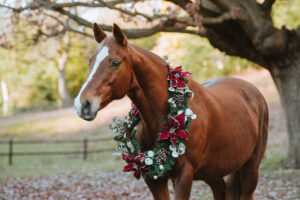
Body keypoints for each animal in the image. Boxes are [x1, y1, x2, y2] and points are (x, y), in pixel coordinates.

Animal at [74, 23, 268, 200]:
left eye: (115, 62)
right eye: (90, 61)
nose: (82, 104)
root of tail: (252, 91)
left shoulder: (183, 177)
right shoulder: (153, 178)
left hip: (250, 169)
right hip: (214, 173)